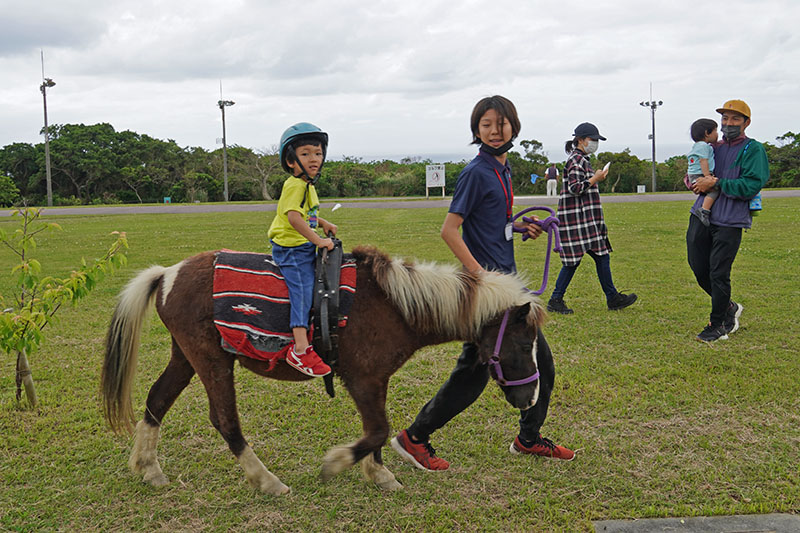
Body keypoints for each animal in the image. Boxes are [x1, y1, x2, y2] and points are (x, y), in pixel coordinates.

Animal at [100, 245, 548, 494]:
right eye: (523, 343)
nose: (531, 398)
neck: (393, 304)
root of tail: (167, 275)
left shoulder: (375, 381)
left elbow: (376, 430)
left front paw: (377, 473)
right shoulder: (364, 378)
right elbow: (377, 430)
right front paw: (339, 464)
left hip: (185, 357)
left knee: (157, 401)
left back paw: (149, 469)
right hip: (211, 361)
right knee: (225, 420)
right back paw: (267, 481)